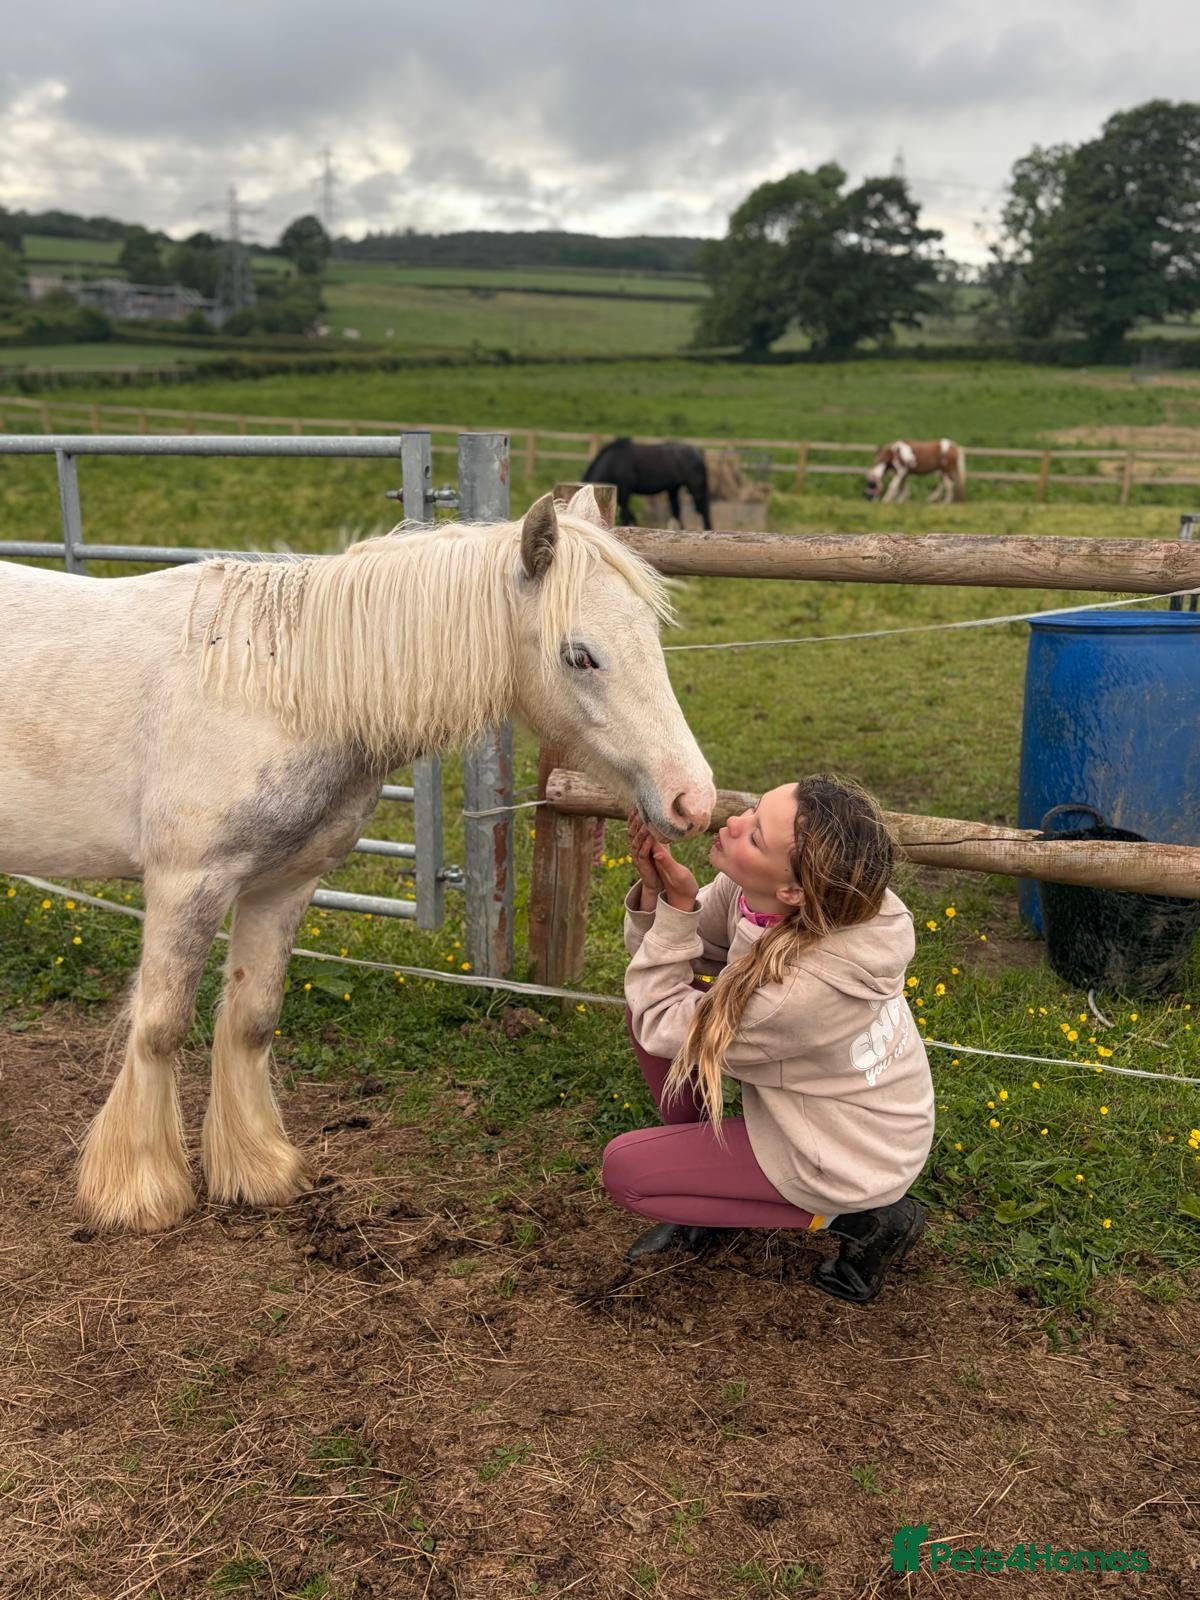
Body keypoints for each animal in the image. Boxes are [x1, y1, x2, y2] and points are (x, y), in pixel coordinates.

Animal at [0, 487, 715, 1234]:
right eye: (580, 656)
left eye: (650, 636)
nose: (692, 799)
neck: (276, 688)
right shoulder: (186, 884)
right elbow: (160, 1027)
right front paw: (139, 1192)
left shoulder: (282, 886)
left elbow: (252, 1019)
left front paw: (258, 1170)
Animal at [583, 437, 712, 530]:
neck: (613, 462)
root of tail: (698, 452)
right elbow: (630, 514)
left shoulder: (625, 491)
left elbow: (625, 514)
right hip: (673, 489)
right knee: (677, 511)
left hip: (695, 487)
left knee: (703, 509)